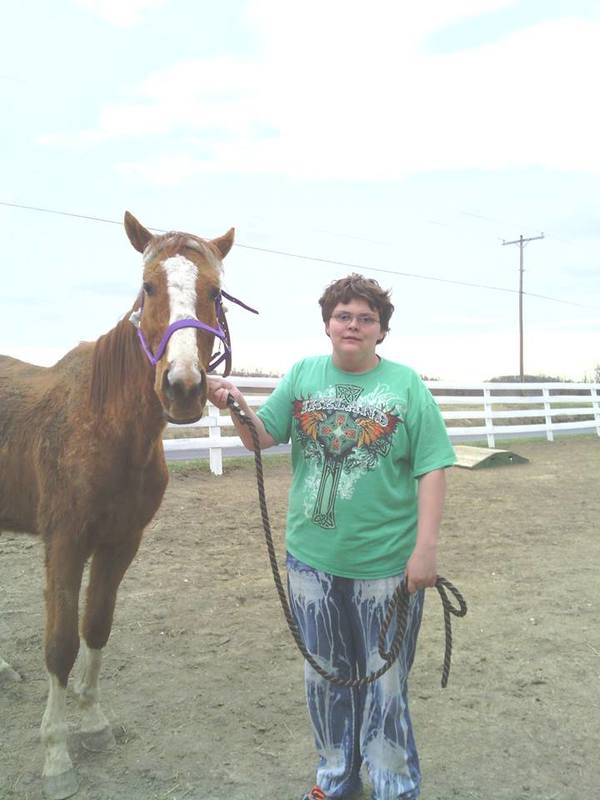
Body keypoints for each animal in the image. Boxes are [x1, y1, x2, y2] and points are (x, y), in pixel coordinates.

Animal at [0, 211, 239, 799]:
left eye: (214, 291)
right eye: (148, 286)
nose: (183, 388)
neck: (104, 425)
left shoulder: (121, 542)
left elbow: (97, 626)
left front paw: (93, 723)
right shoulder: (65, 544)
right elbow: (61, 643)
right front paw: (56, 755)